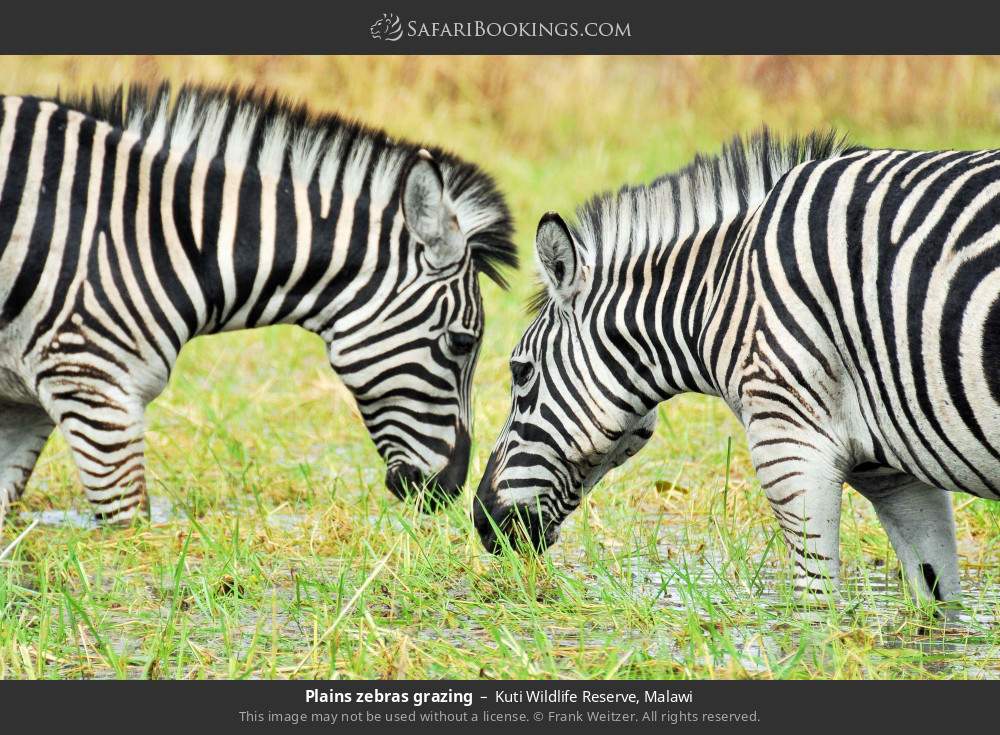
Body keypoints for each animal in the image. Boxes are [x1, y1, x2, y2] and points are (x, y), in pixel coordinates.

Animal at [474, 128, 1000, 606]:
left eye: (521, 373)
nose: (481, 521)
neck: (722, 289)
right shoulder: (896, 474)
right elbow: (938, 608)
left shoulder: (789, 445)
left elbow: (815, 609)